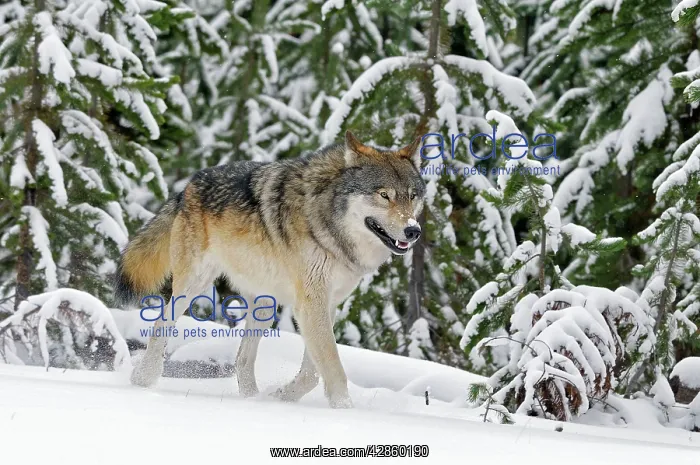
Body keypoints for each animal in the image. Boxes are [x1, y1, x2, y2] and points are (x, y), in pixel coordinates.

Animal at [114, 131, 425, 408]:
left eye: (412, 196)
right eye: (384, 195)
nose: (414, 231)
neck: (328, 223)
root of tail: (187, 186)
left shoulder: (327, 303)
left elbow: (312, 373)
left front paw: (281, 397)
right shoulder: (311, 304)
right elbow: (332, 368)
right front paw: (345, 410)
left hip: (264, 306)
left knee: (242, 359)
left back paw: (254, 400)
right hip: (194, 286)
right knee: (161, 323)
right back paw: (143, 379)